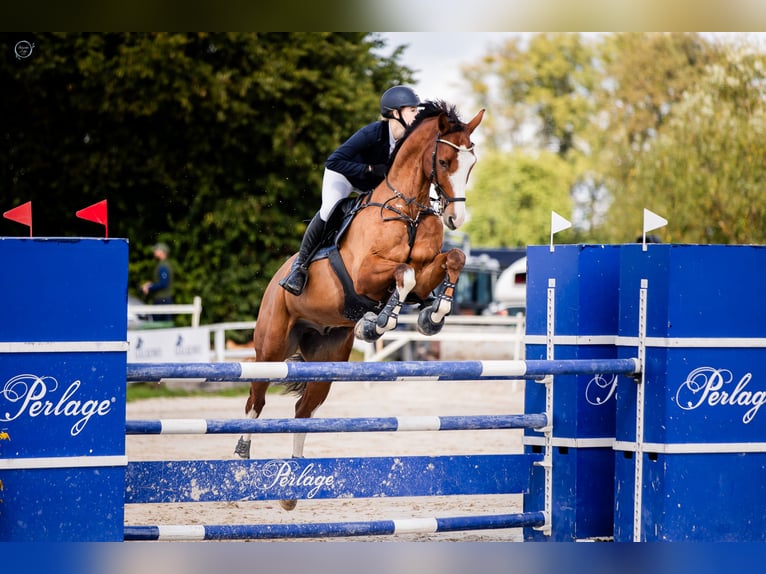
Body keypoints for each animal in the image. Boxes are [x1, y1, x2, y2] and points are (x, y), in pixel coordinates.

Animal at [237, 101, 484, 510]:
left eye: (472, 163)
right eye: (445, 160)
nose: (456, 218)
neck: (408, 208)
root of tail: (275, 280)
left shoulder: (428, 269)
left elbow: (453, 259)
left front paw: (434, 314)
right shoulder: (364, 275)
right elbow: (403, 274)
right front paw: (378, 322)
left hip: (327, 358)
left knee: (303, 412)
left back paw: (292, 488)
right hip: (271, 347)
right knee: (255, 401)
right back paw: (241, 459)